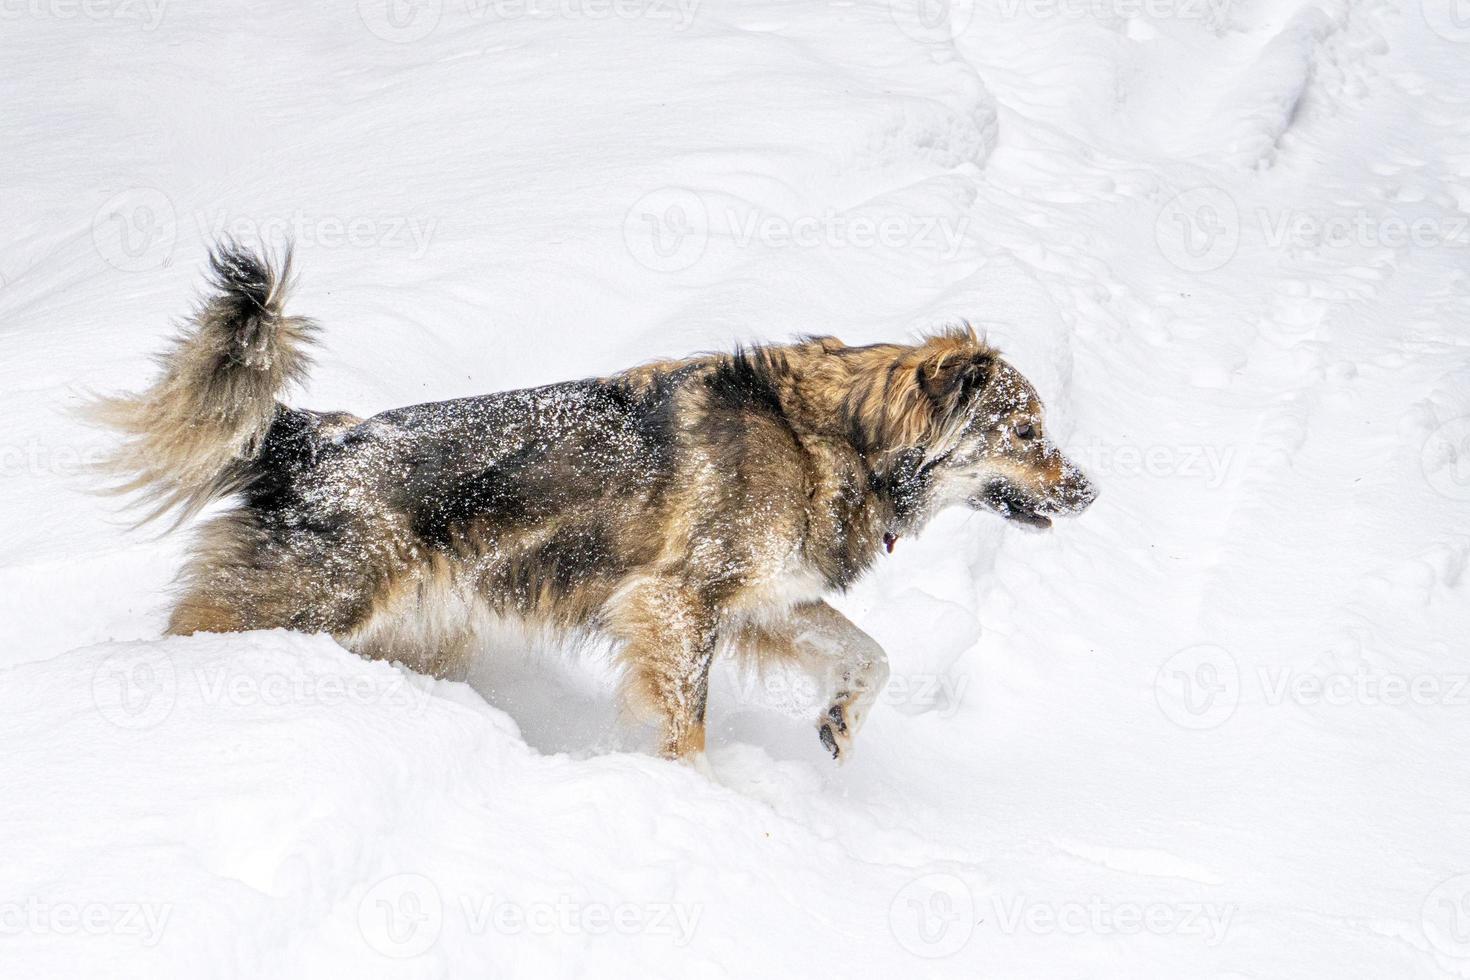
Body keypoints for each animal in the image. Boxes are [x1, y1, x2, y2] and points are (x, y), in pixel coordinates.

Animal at [91, 246, 1099, 764]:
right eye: (1027, 431)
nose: (1091, 489)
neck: (832, 438)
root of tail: (312, 436)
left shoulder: (763, 604)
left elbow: (871, 656)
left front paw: (841, 721)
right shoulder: (679, 604)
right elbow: (688, 726)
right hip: (312, 606)